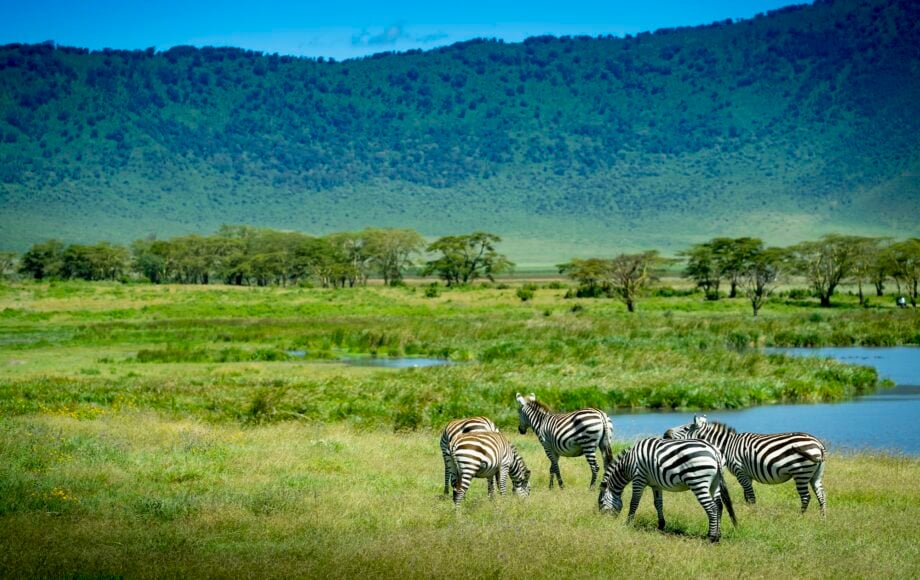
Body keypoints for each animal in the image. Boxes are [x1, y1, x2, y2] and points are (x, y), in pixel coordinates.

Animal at [597, 437, 737, 543]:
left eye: (600, 502)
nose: (603, 522)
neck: (628, 464)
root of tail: (714, 451)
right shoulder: (656, 485)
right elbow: (658, 503)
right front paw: (661, 525)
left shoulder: (638, 478)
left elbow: (634, 502)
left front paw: (628, 523)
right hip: (715, 482)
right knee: (719, 506)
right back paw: (717, 535)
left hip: (698, 481)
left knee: (712, 507)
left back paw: (712, 538)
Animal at [664, 415, 827, 516]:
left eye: (685, 428)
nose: (665, 434)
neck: (727, 446)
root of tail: (818, 443)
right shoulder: (747, 474)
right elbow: (747, 495)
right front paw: (749, 511)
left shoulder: (740, 471)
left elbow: (751, 496)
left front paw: (753, 513)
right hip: (815, 474)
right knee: (821, 495)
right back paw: (822, 518)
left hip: (801, 473)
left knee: (806, 497)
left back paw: (801, 516)